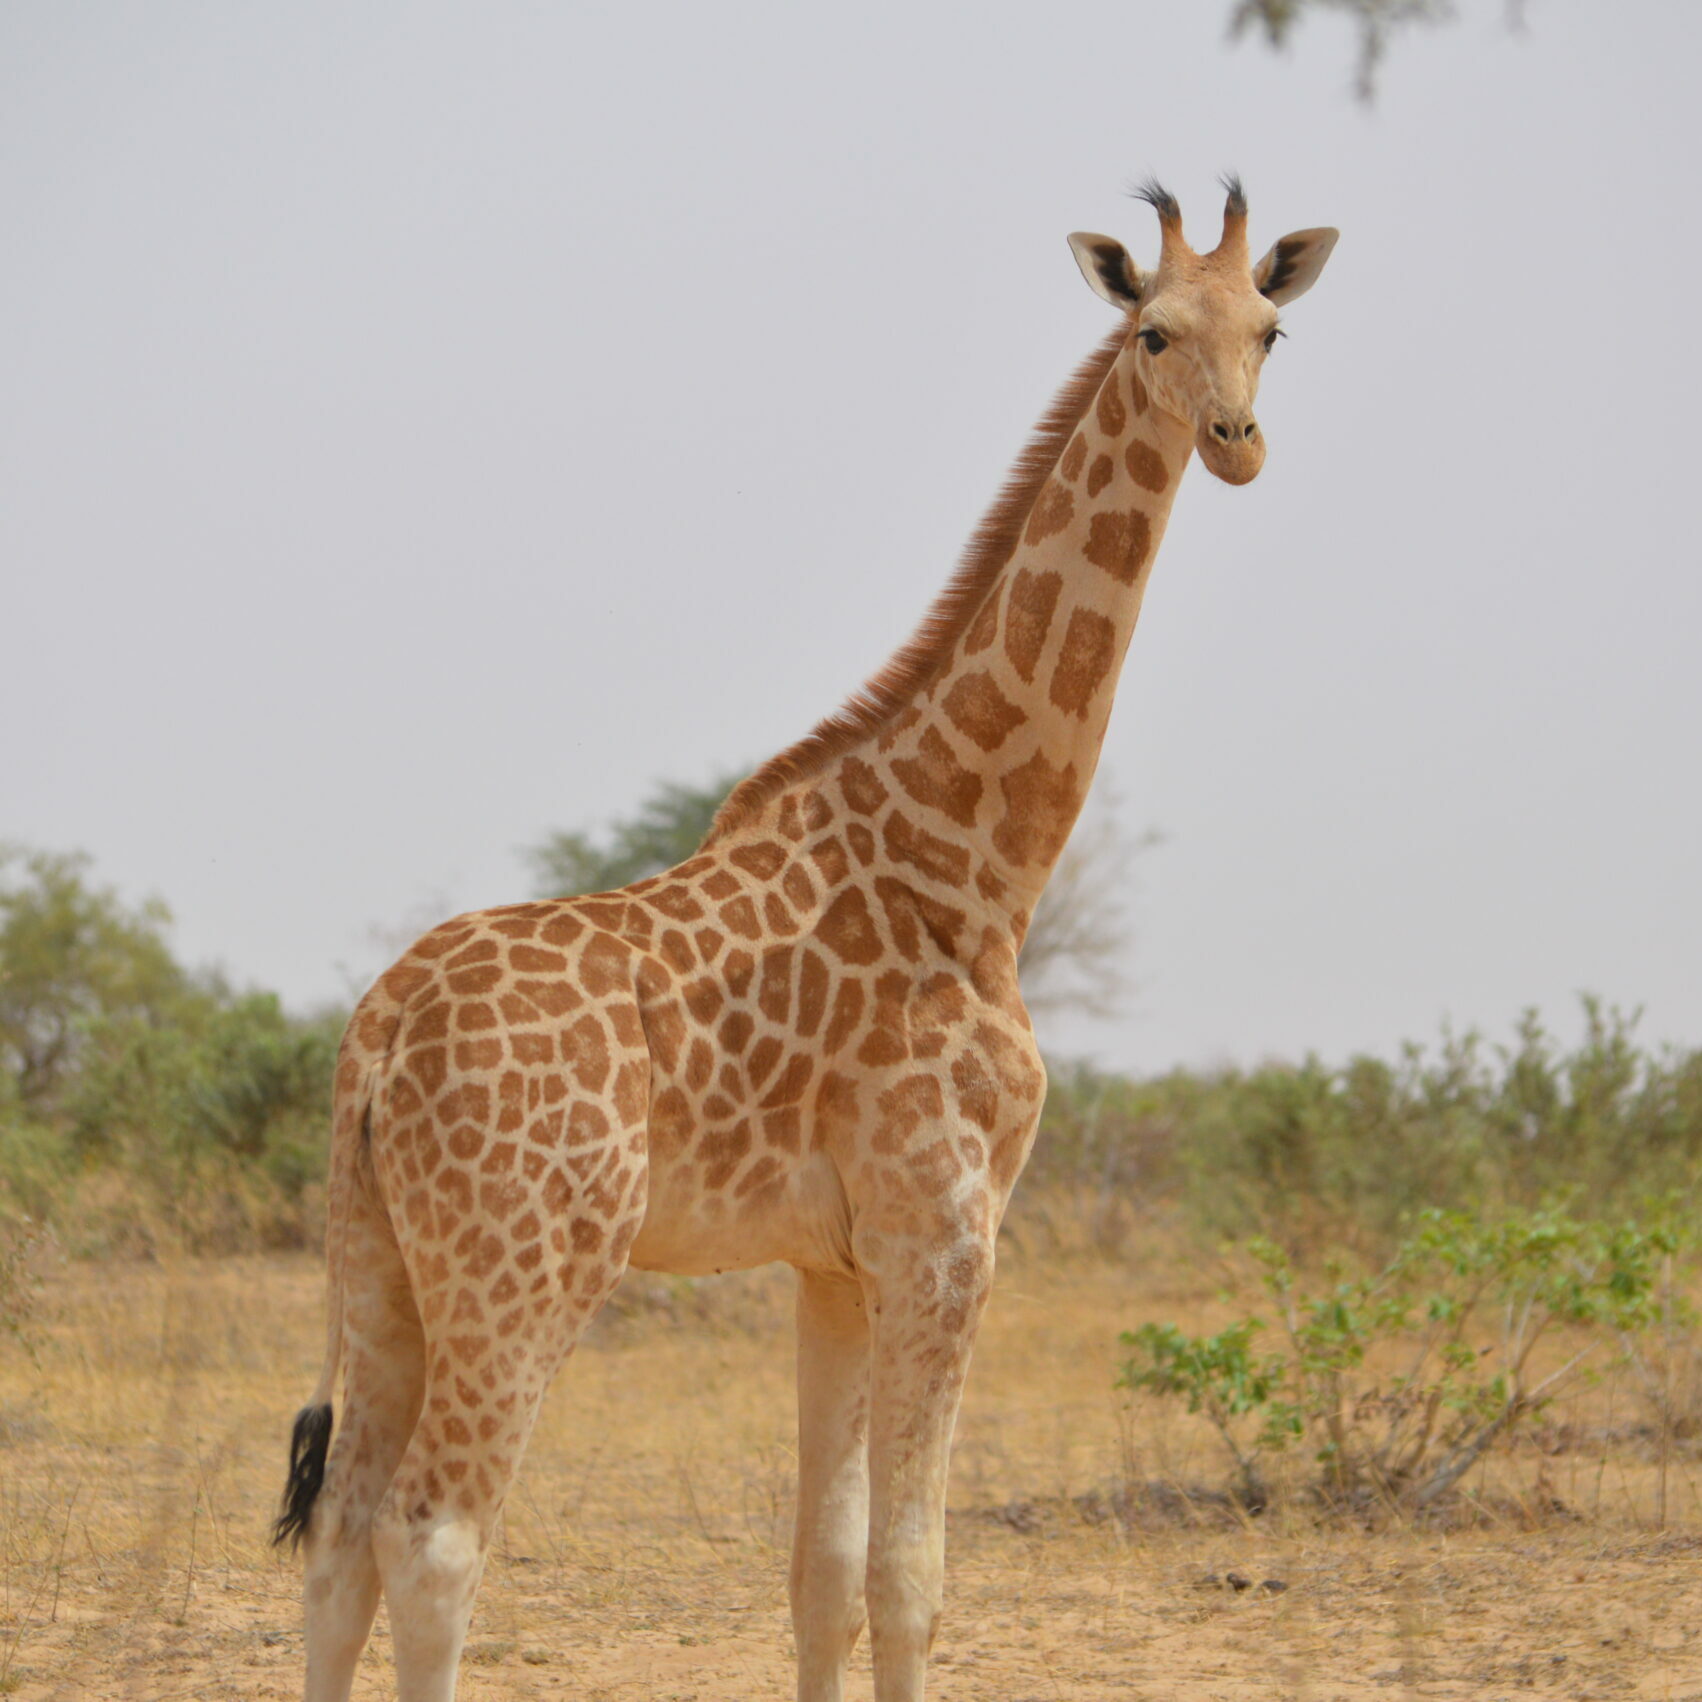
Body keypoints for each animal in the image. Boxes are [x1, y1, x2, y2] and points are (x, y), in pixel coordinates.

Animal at [279, 179, 1341, 1695]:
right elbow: (911, 1575)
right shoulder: (947, 1234)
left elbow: (822, 1573)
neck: (973, 866)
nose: (1235, 444)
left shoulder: (832, 1259)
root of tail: (372, 1042)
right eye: (1150, 332)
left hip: (377, 1257)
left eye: (1271, 329)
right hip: (525, 1264)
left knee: (340, 1535)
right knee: (432, 1537)